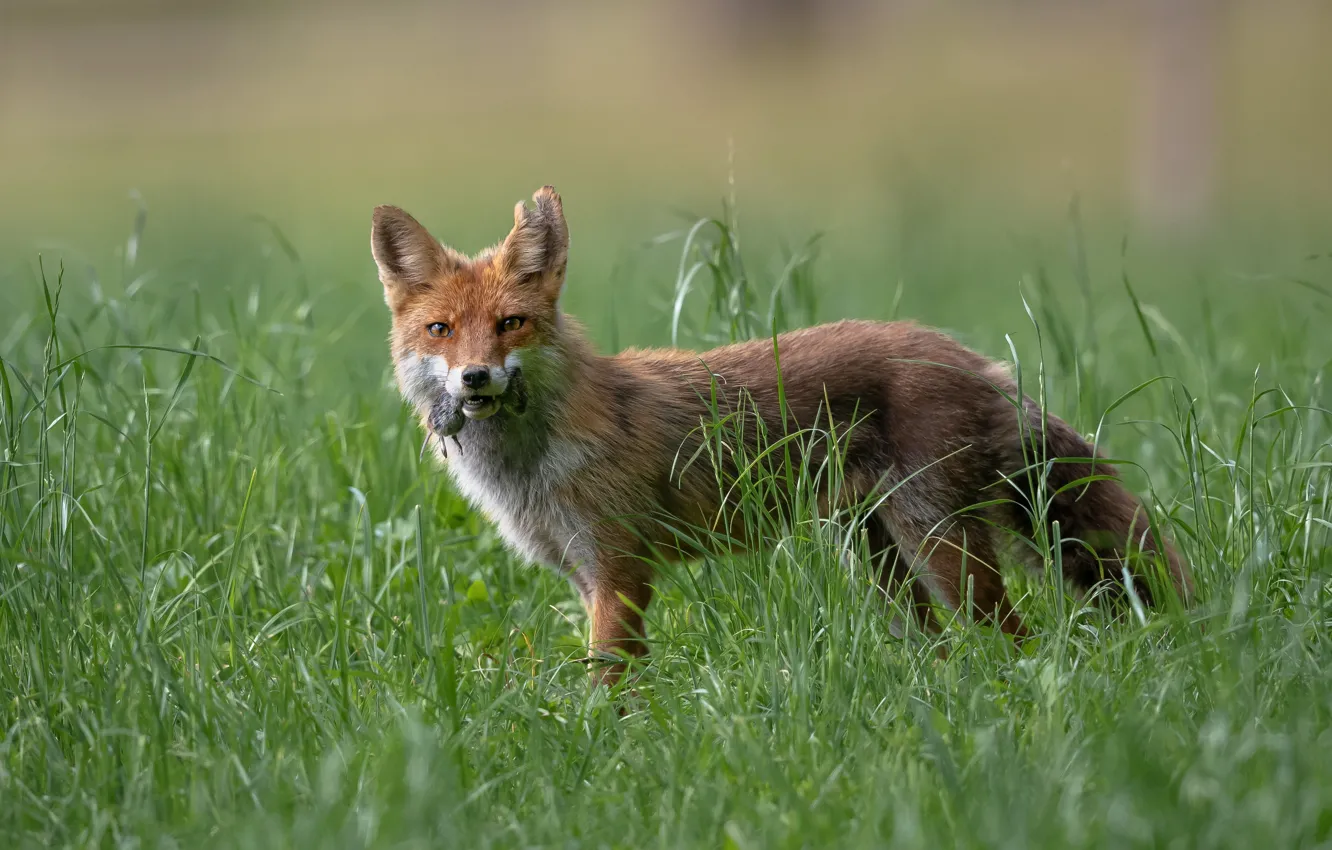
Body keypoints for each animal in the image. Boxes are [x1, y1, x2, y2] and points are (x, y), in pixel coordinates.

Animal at [371, 185, 1192, 685]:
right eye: (441, 330)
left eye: (510, 323)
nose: (475, 377)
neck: (531, 467)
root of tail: (968, 355)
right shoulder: (582, 575)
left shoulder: (620, 570)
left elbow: (610, 681)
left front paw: (608, 750)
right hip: (879, 559)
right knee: (942, 646)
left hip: (939, 548)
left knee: (1015, 639)